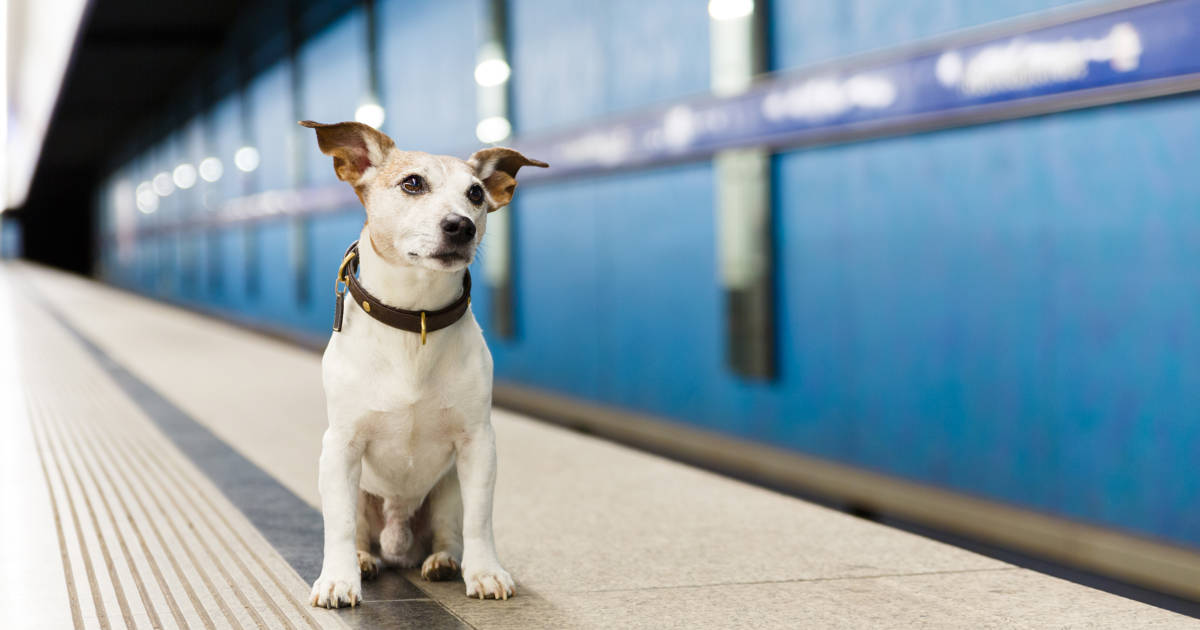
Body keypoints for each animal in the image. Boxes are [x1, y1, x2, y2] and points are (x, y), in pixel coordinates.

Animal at [300, 116, 549, 604]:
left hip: (447, 491)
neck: (415, 320)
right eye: (412, 183)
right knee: (359, 532)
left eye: (476, 193)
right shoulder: (340, 447)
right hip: (363, 494)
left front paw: (485, 571)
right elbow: (338, 525)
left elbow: (480, 521)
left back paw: (444, 562)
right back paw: (363, 560)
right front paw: (338, 578)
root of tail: (398, 545)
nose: (460, 226)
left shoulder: (478, 444)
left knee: (451, 531)